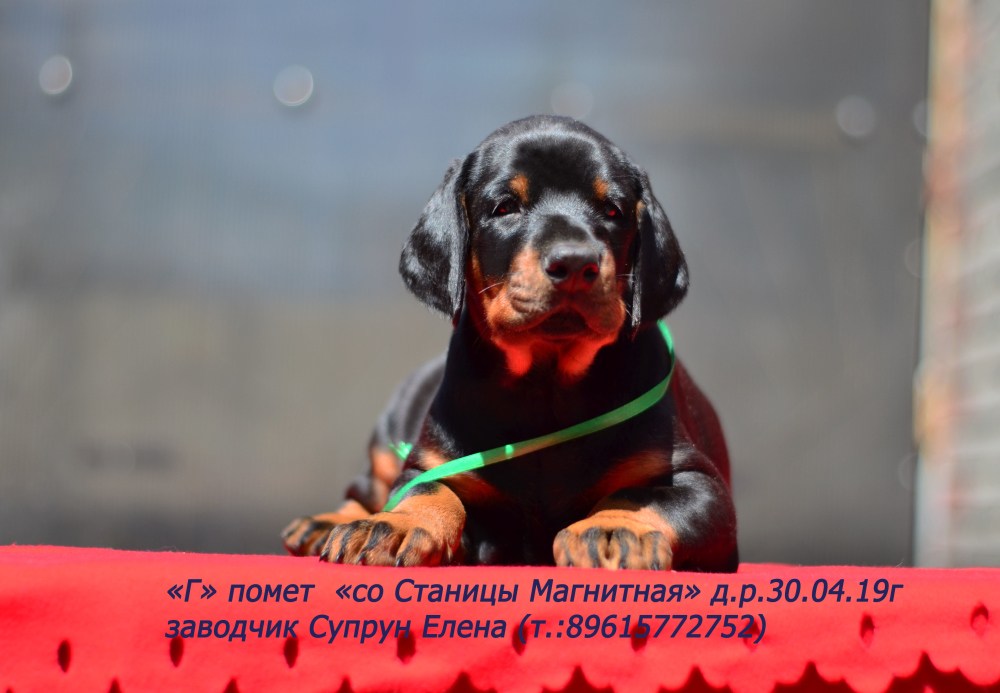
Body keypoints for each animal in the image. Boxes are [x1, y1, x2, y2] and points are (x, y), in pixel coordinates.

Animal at [282, 115, 737, 571]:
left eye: (613, 210)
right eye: (504, 207)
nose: (575, 263)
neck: (546, 384)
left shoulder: (704, 487)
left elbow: (641, 494)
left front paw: (613, 529)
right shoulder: (428, 465)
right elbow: (427, 489)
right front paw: (397, 523)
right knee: (361, 490)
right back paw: (323, 522)